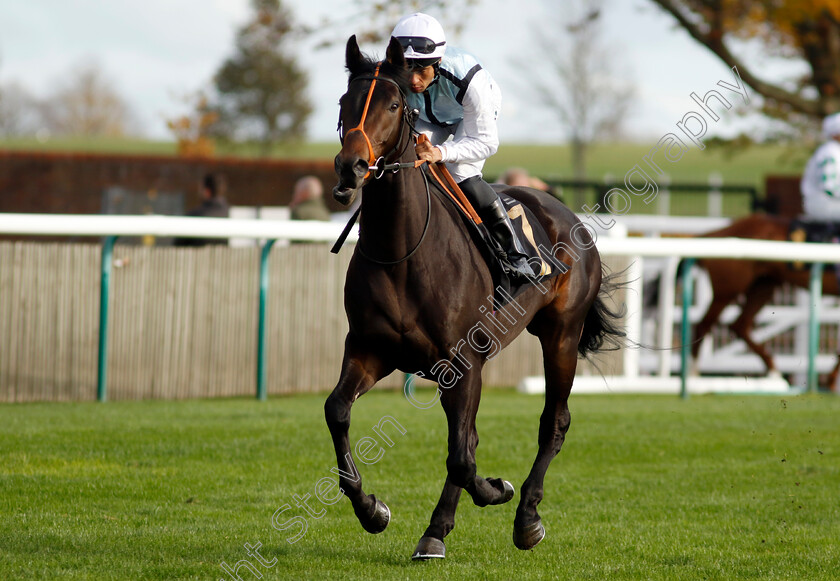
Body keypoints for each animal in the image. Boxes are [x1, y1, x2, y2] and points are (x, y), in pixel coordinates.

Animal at [326, 35, 624, 556]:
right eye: (345, 102)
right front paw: (372, 510)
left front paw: (497, 490)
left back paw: (526, 517)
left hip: (561, 335)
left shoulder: (462, 363)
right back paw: (435, 531)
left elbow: (463, 459)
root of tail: (565, 211)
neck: (402, 252)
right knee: (471, 439)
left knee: (552, 423)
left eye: (394, 105)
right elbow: (338, 412)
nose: (351, 166)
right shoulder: (369, 349)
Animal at [688, 212, 840, 386]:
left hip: (762, 287)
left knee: (739, 325)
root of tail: (716, 232)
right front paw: (831, 381)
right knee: (703, 325)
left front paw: (831, 380)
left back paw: (774, 371)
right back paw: (693, 376)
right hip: (726, 292)